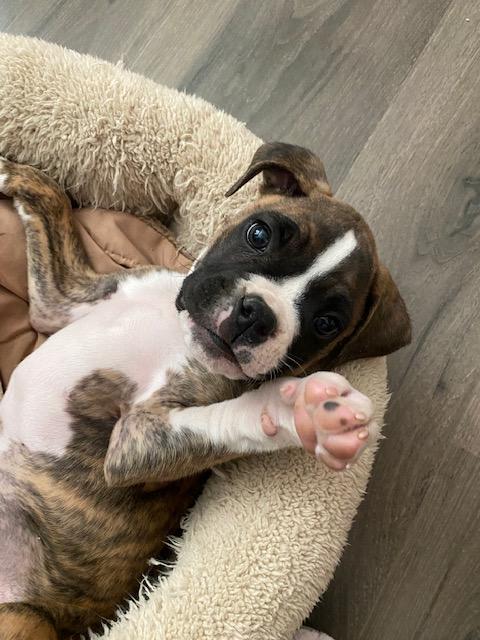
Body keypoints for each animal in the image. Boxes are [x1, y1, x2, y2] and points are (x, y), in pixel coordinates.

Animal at [0, 145, 410, 640]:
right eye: (259, 233)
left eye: (327, 322)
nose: (256, 314)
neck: (176, 331)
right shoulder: (61, 300)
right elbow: (52, 203)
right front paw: (12, 171)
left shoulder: (136, 444)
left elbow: (228, 420)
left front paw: (301, 409)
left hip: (26, 617)